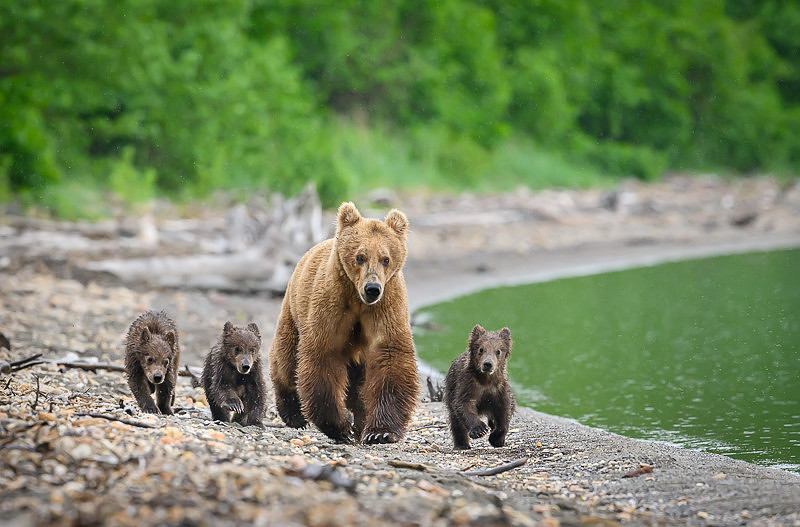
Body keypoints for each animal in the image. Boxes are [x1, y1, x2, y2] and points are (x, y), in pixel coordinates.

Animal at [269, 201, 420, 444]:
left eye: (385, 258)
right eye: (360, 256)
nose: (372, 288)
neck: (358, 300)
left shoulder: (386, 306)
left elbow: (389, 354)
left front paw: (380, 431)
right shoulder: (333, 304)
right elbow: (323, 356)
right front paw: (340, 426)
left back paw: (360, 421)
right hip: (293, 310)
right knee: (286, 360)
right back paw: (294, 413)